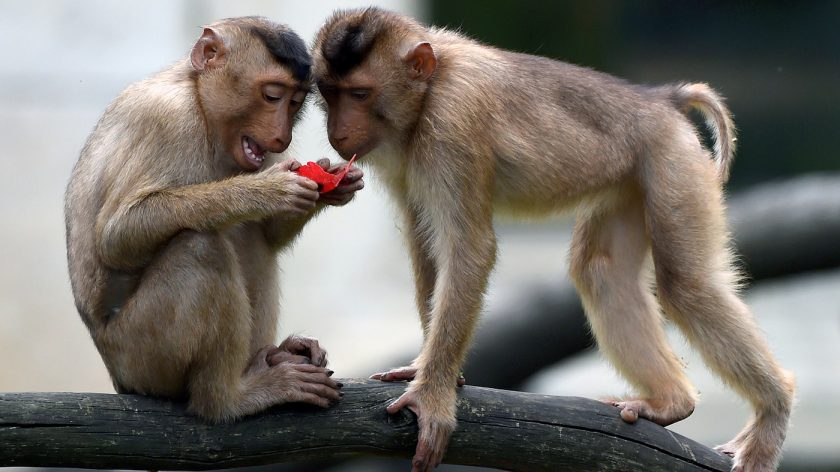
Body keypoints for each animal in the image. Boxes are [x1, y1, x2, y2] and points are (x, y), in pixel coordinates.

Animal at [64, 16, 364, 422]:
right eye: (272, 96)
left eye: (295, 103)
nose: (282, 137)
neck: (200, 102)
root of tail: (117, 376)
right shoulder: (168, 119)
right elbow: (116, 237)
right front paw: (265, 191)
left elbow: (268, 234)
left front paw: (333, 183)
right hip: (140, 356)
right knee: (201, 247)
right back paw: (229, 398)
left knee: (250, 238)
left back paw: (270, 357)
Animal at [311, 8, 795, 472]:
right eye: (329, 94)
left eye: (359, 94)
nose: (338, 132)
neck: (430, 87)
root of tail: (660, 99)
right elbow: (426, 244)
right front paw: (431, 372)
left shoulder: (453, 122)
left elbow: (469, 250)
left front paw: (431, 396)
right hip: (630, 180)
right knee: (601, 269)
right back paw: (671, 403)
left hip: (672, 160)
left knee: (686, 285)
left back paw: (774, 407)